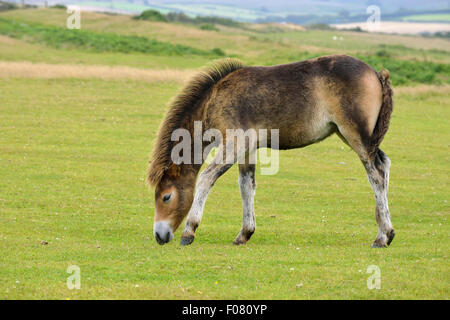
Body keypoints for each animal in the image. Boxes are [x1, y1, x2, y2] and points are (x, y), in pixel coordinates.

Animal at [148, 55, 394, 248]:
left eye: (166, 196)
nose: (159, 235)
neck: (215, 99)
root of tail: (376, 74)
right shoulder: (247, 148)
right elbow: (246, 185)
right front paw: (244, 234)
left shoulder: (234, 142)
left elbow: (206, 178)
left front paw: (189, 231)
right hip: (351, 135)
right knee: (384, 163)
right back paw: (384, 229)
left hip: (356, 134)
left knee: (376, 172)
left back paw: (383, 236)